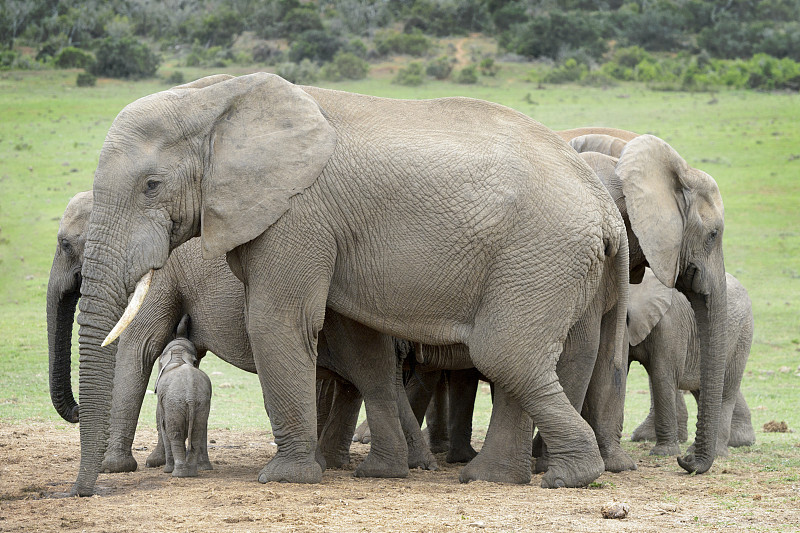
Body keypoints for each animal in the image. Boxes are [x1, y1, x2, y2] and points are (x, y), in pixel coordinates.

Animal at [154, 314, 212, 476]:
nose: (186, 317)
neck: (178, 356)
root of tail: (191, 397)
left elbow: (163, 425)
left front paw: (167, 471)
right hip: (200, 404)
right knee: (197, 433)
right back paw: (191, 472)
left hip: (174, 404)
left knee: (175, 434)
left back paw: (178, 473)